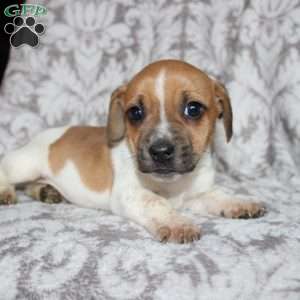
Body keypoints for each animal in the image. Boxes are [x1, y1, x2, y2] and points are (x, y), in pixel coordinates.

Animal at [0, 59, 264, 244]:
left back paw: (46, 191)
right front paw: (177, 223)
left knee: (32, 185)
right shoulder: (131, 194)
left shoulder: (198, 195)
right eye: (135, 113)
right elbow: (157, 203)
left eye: (193, 109)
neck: (174, 185)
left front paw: (240, 203)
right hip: (26, 164)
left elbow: (219, 195)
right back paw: (6, 191)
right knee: (6, 168)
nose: (160, 151)